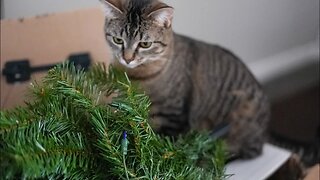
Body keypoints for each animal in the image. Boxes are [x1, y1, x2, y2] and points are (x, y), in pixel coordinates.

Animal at [100, 0, 270, 158]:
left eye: (145, 44)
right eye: (118, 40)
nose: (127, 59)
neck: (136, 77)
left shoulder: (174, 116)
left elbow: (165, 146)